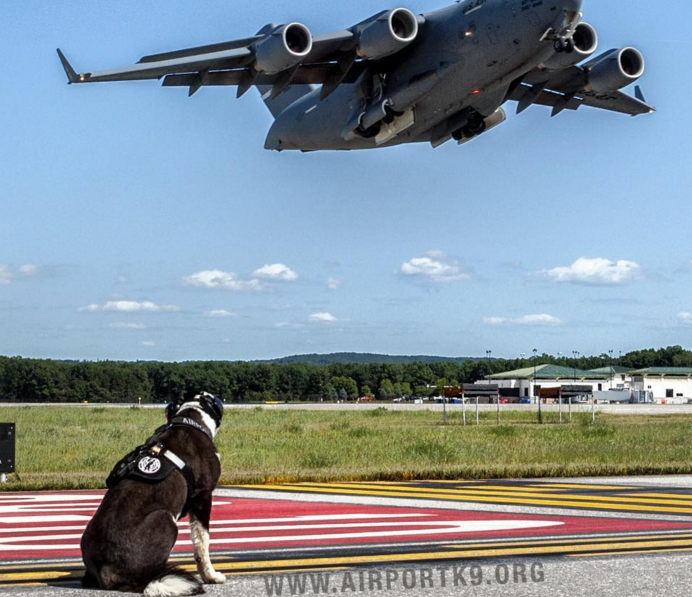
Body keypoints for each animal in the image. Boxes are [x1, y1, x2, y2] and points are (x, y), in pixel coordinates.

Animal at [81, 392, 226, 596]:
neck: (190, 418)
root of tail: (104, 572)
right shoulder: (203, 496)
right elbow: (202, 542)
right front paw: (211, 576)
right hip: (165, 518)